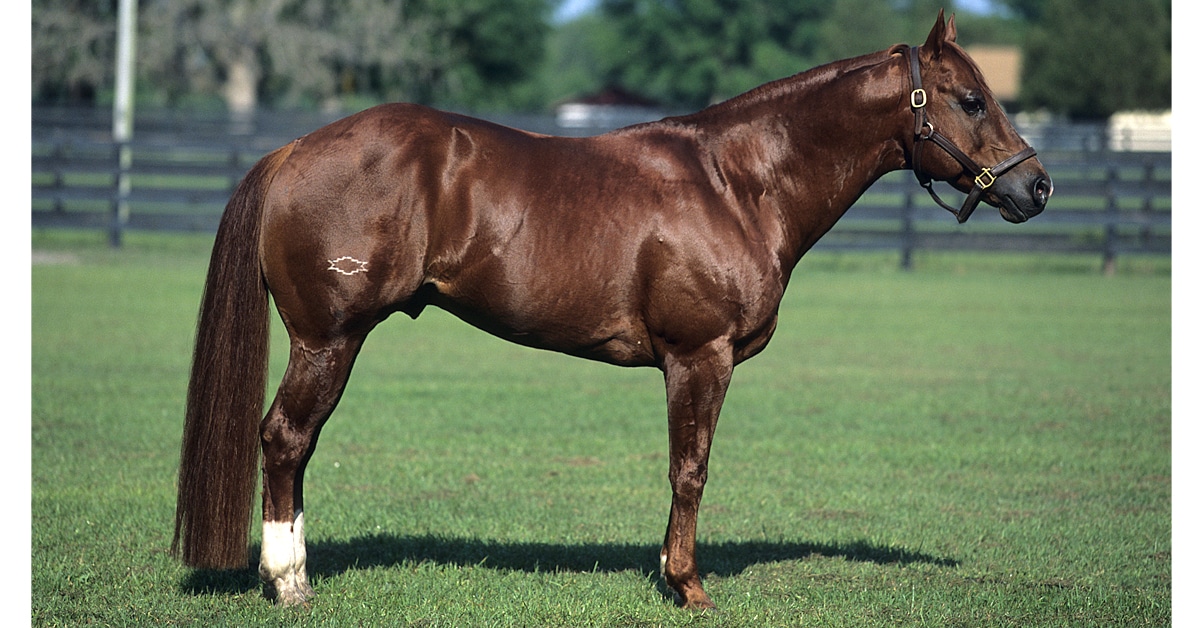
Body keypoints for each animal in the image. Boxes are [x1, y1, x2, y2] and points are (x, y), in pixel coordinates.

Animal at [172, 11, 1051, 610]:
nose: (1035, 186)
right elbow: (691, 469)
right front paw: (687, 586)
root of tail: (293, 151)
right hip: (329, 339)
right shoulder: (699, 357)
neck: (736, 183)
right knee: (285, 439)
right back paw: (289, 583)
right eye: (972, 99)